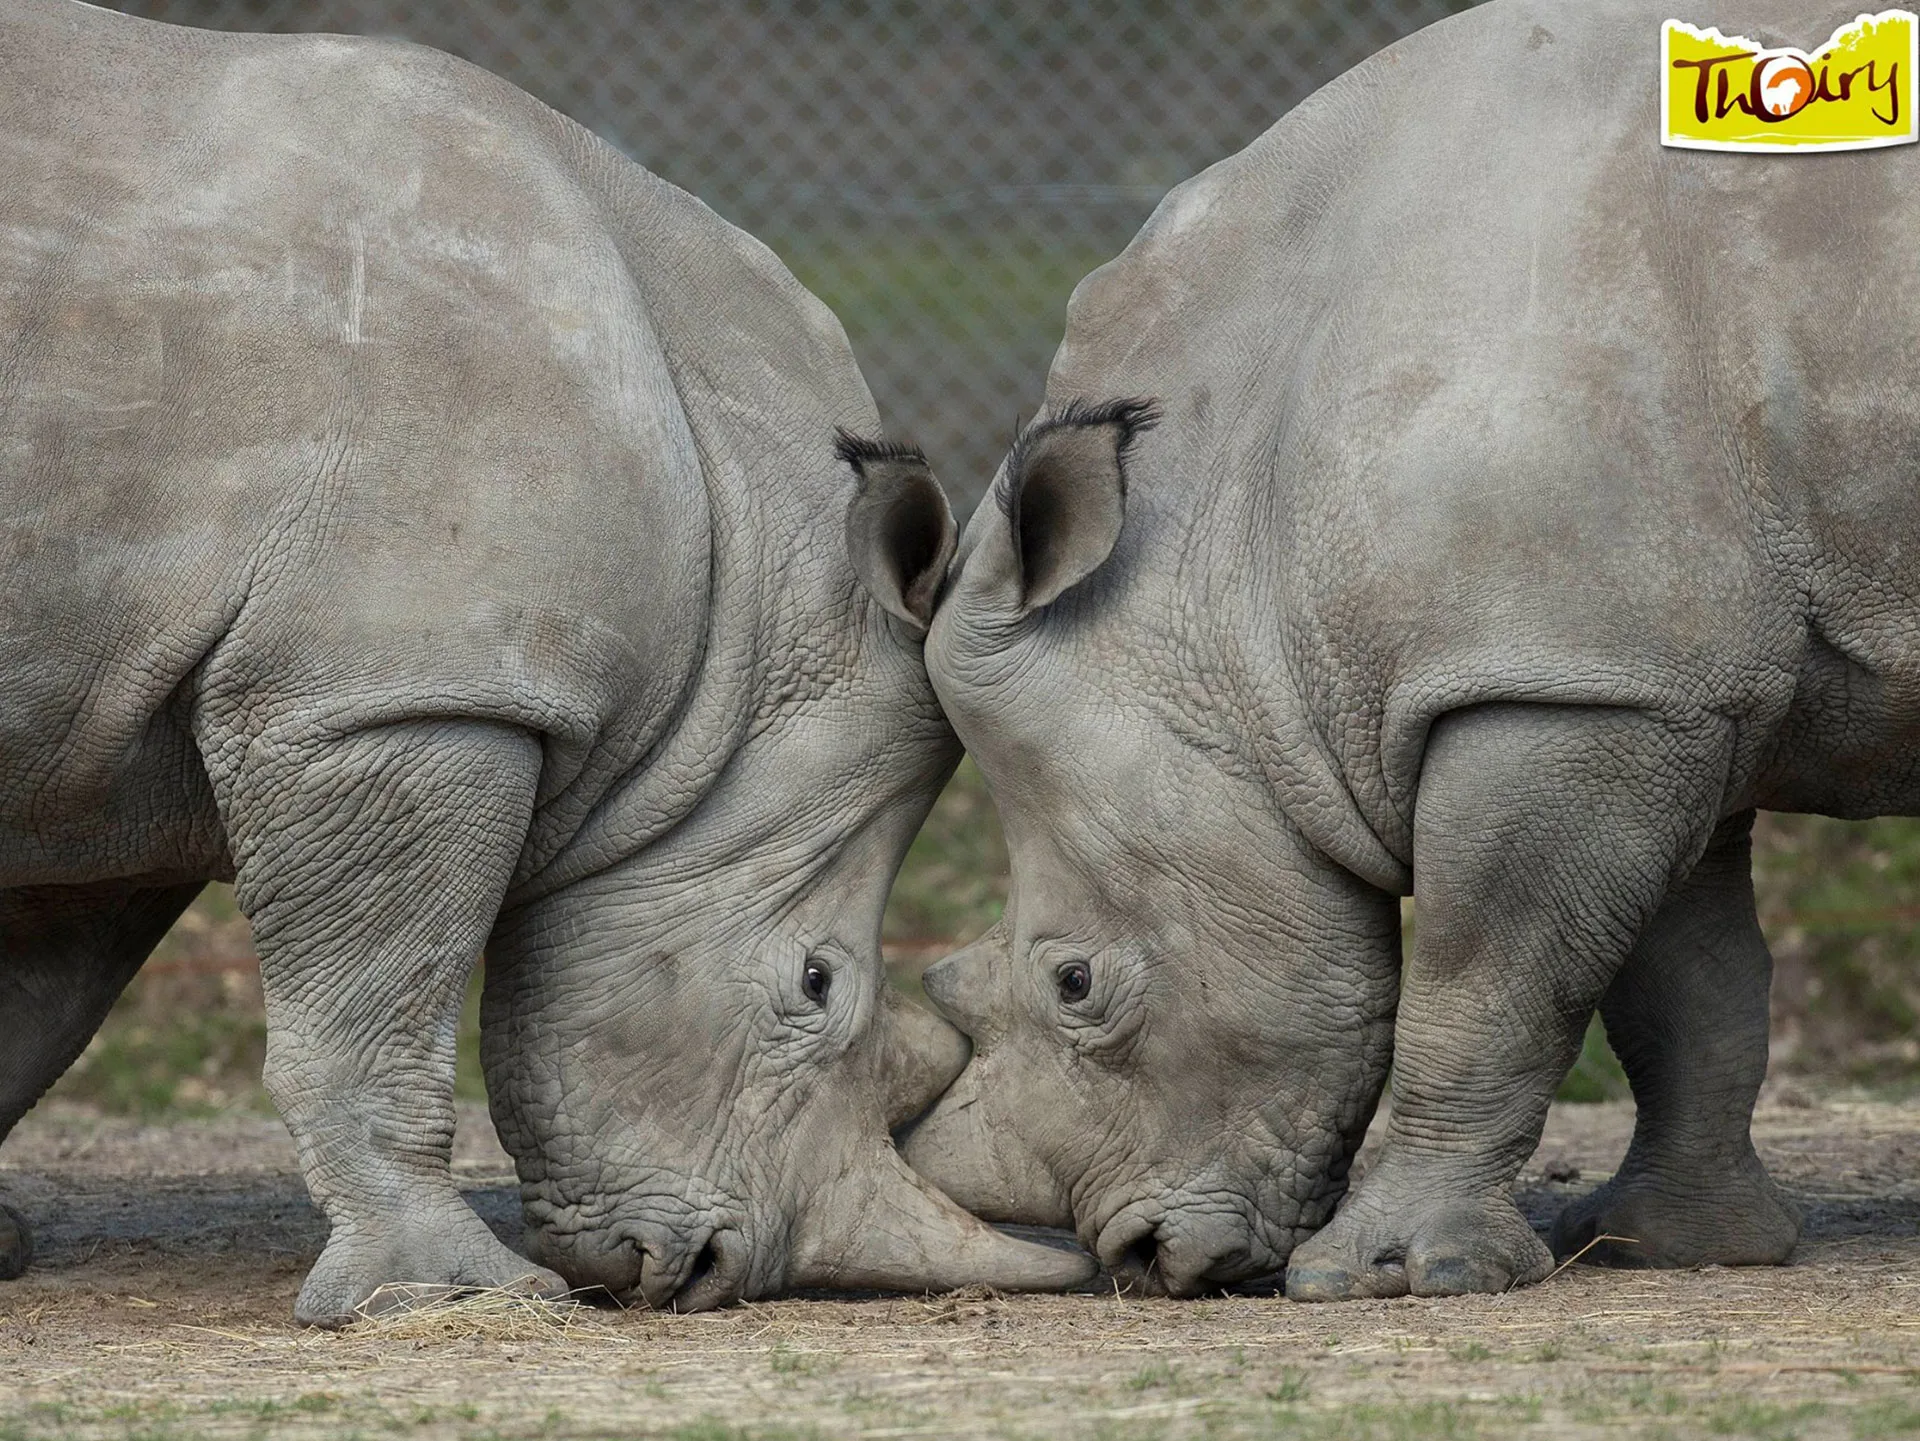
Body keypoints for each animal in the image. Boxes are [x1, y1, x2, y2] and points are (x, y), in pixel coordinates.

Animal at [0, 0, 1091, 1324]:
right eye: (816, 984)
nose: (704, 1277)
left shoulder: (97, 732)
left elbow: (36, 999)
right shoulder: (394, 695)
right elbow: (378, 1002)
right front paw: (439, 1295)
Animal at [900, 0, 1902, 1300]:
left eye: (1076, 985)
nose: (1146, 1259)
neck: (1222, 536)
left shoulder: (1553, 685)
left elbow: (1486, 983)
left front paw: (1391, 1275)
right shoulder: (1644, 673)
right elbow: (1688, 985)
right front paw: (1673, 1246)